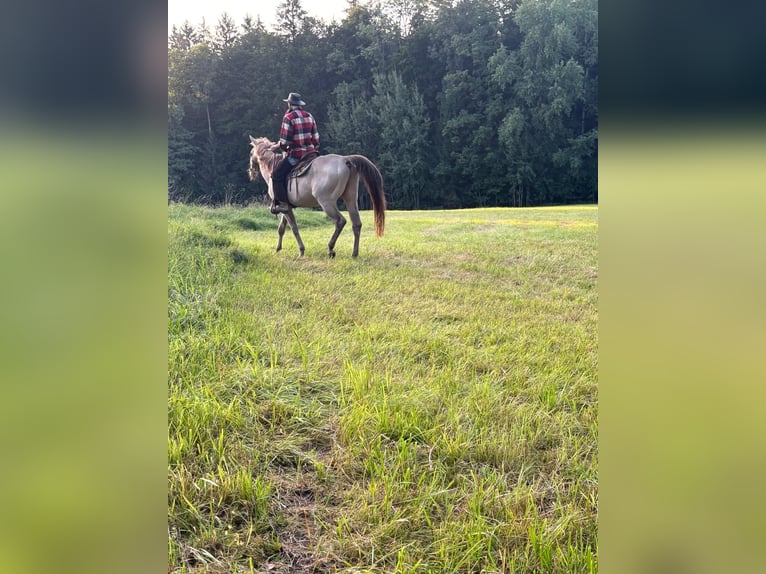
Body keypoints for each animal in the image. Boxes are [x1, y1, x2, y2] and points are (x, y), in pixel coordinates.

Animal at [248, 136, 386, 258]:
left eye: (250, 153)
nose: (251, 171)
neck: (272, 166)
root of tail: (345, 160)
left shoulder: (284, 208)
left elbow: (294, 228)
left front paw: (301, 251)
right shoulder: (286, 207)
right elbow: (281, 228)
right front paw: (278, 249)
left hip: (326, 202)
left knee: (340, 221)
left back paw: (331, 249)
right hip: (350, 199)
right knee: (356, 224)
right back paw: (354, 253)